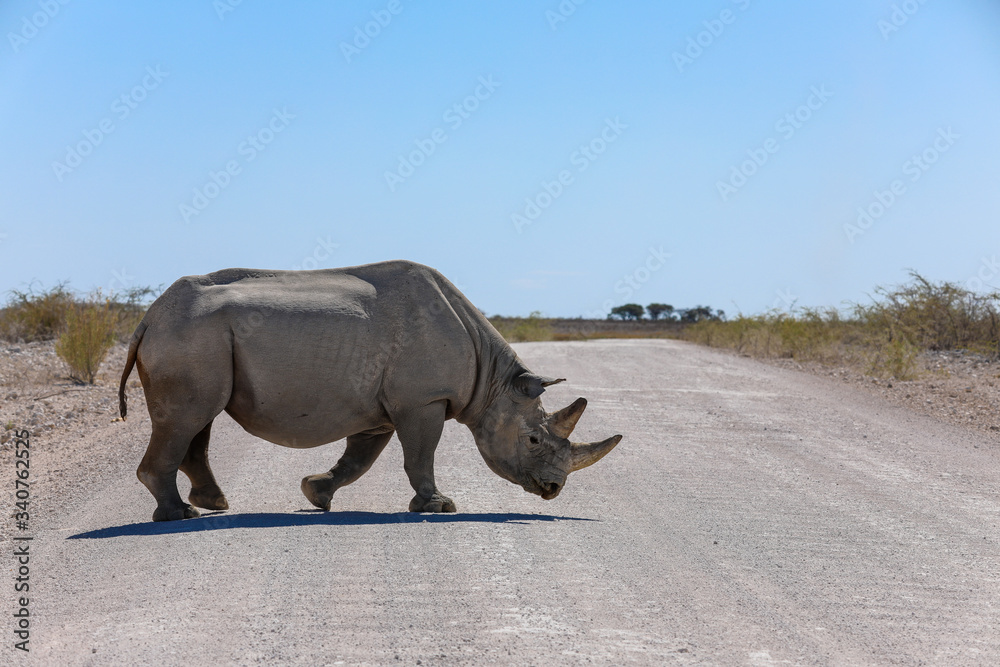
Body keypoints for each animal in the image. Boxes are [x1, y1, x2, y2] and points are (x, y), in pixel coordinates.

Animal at [118, 260, 621, 521]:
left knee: (199, 419)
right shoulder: (423, 399)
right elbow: (420, 454)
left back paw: (213, 504)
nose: (553, 489)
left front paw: (316, 493)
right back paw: (179, 516)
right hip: (190, 337)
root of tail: (150, 315)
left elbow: (359, 458)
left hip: (196, 339)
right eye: (533, 439)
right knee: (188, 418)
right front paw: (439, 507)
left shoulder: (383, 405)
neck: (493, 381)